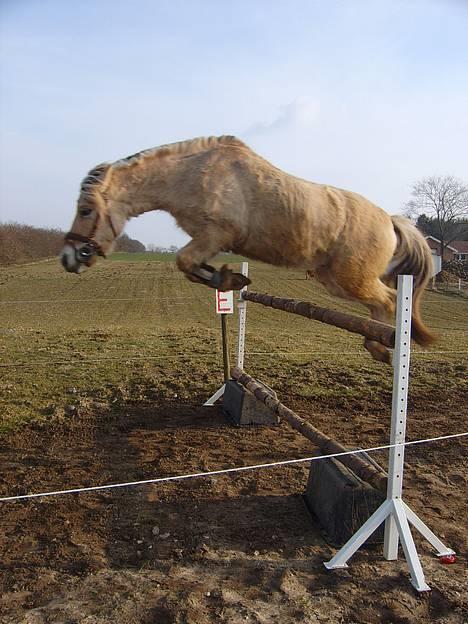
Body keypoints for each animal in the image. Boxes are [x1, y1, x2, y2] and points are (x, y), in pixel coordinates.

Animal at [61, 134, 436, 364]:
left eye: (86, 211)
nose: (68, 258)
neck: (190, 175)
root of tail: (390, 220)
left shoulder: (216, 234)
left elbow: (184, 261)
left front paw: (228, 280)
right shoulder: (208, 241)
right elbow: (191, 268)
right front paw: (231, 280)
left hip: (351, 278)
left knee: (390, 300)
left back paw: (385, 348)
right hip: (332, 279)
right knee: (381, 302)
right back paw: (378, 348)